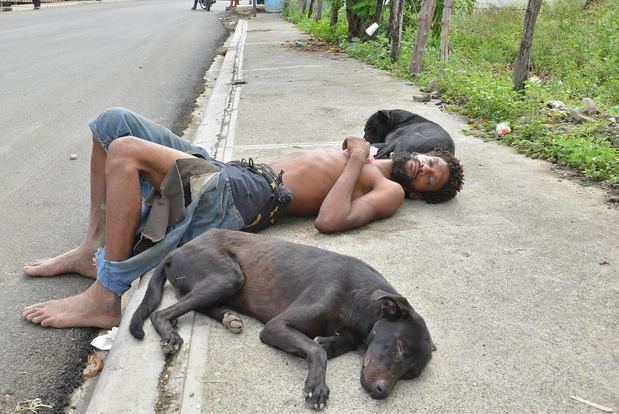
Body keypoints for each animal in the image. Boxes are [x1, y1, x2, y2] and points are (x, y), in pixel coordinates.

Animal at [128, 230, 434, 410]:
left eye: (411, 374)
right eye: (400, 346)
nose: (381, 392)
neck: (357, 297)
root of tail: (173, 252)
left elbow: (327, 343)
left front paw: (328, 341)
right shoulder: (275, 326)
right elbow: (317, 350)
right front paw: (316, 385)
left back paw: (229, 318)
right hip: (228, 276)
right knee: (162, 312)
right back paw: (170, 335)